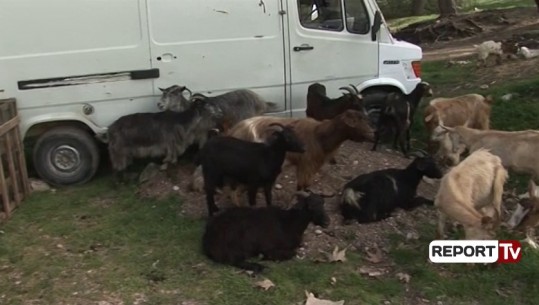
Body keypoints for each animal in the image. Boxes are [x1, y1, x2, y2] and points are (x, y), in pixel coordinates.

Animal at [201, 191, 330, 272]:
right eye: (310, 206)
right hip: (236, 246)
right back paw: (260, 267)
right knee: (234, 261)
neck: (289, 223)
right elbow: (292, 253)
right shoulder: (268, 247)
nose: (327, 222)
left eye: (323, 203)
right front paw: (265, 257)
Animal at [226, 109, 374, 190]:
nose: (372, 134)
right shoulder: (306, 164)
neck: (319, 134)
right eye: (357, 121)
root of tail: (234, 130)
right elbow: (304, 186)